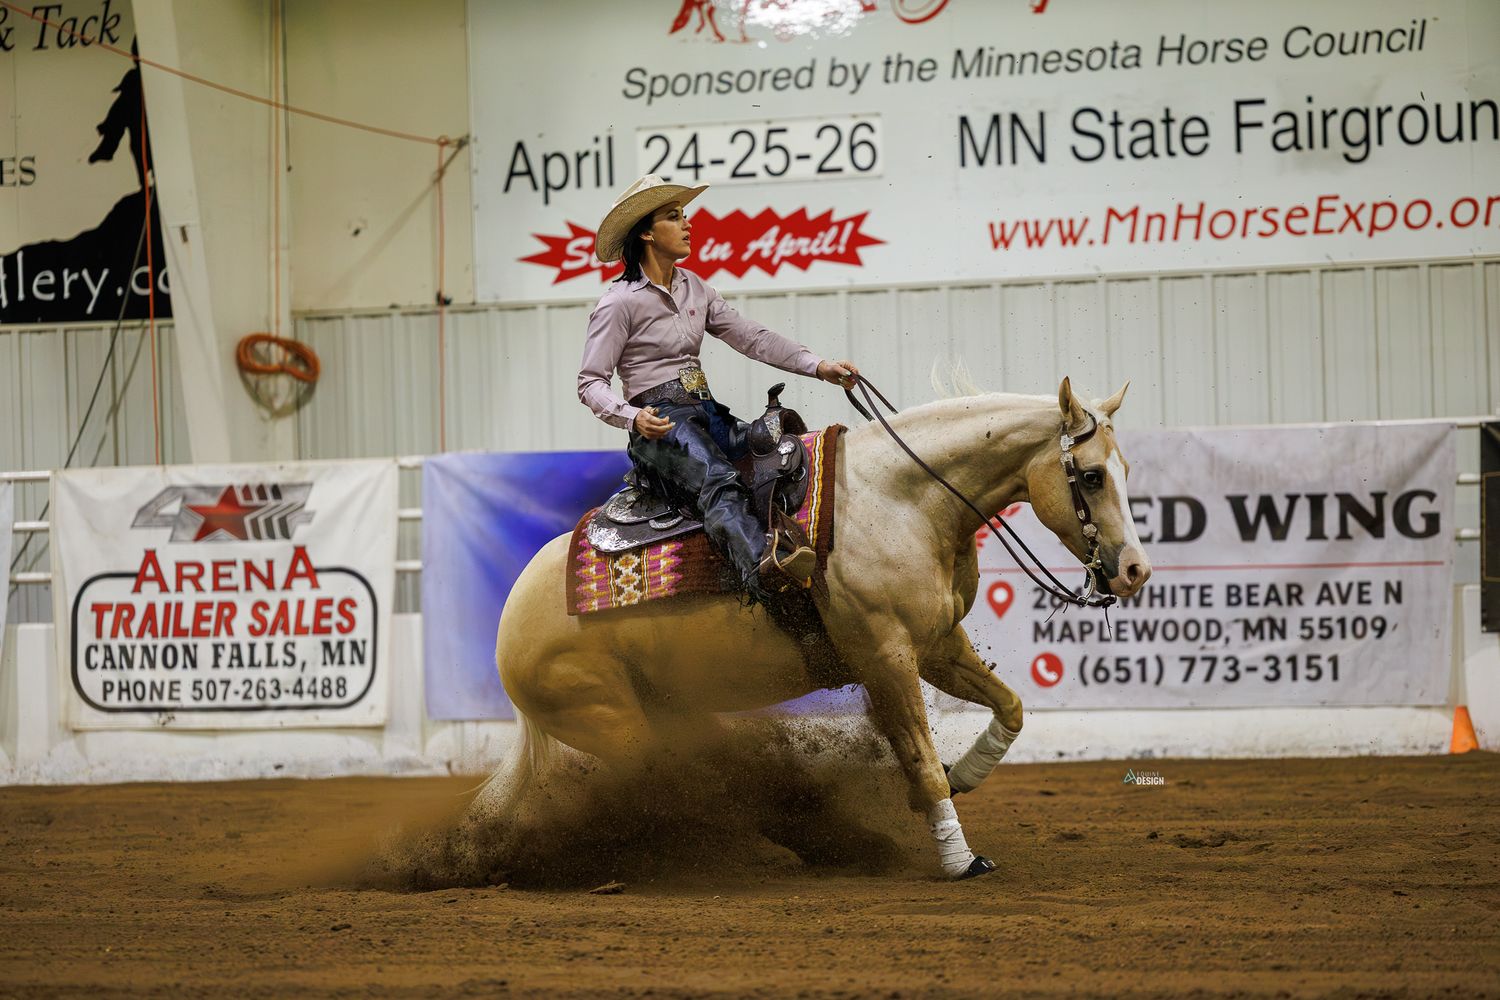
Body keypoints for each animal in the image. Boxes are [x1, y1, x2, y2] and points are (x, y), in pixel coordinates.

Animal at [489, 377, 1151, 879]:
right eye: (1092, 476)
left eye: (1125, 467)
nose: (1135, 571)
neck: (903, 501)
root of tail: (511, 622)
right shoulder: (885, 656)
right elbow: (918, 754)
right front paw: (958, 857)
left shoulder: (937, 645)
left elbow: (1008, 709)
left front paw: (962, 777)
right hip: (618, 727)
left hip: (668, 713)